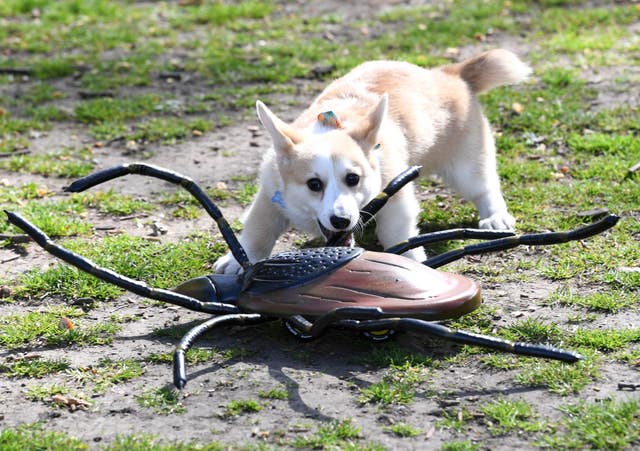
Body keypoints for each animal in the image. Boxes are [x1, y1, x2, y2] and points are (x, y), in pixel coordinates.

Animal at [215, 50, 528, 276]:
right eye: (314, 184)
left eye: (353, 179)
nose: (341, 220)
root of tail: (448, 74)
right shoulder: (269, 196)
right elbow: (257, 230)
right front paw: (236, 261)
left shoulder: (396, 197)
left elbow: (397, 233)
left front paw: (411, 261)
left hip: (465, 164)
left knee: (484, 186)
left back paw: (494, 216)